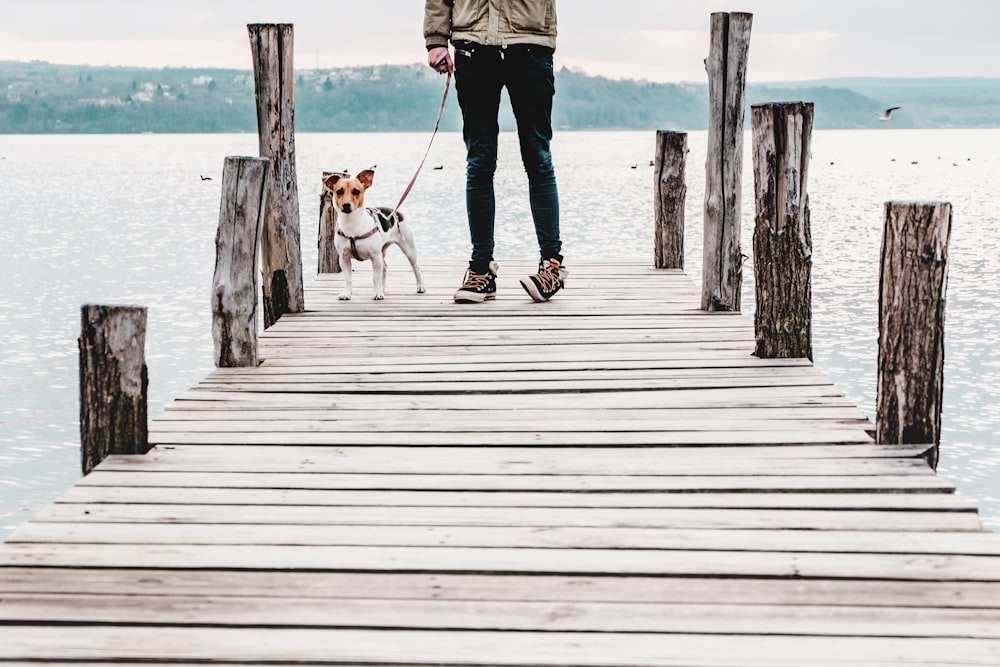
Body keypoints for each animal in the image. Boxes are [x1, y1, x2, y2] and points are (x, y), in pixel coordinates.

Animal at [322, 168, 424, 302]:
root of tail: (396, 212)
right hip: (382, 251)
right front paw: (347, 293)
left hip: (409, 249)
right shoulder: (344, 258)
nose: (346, 205)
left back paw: (420, 286)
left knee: (415, 267)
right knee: (384, 268)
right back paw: (383, 288)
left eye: (356, 191)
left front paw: (377, 293)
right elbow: (348, 279)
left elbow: (375, 277)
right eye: (339, 191)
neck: (352, 225)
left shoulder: (375, 256)